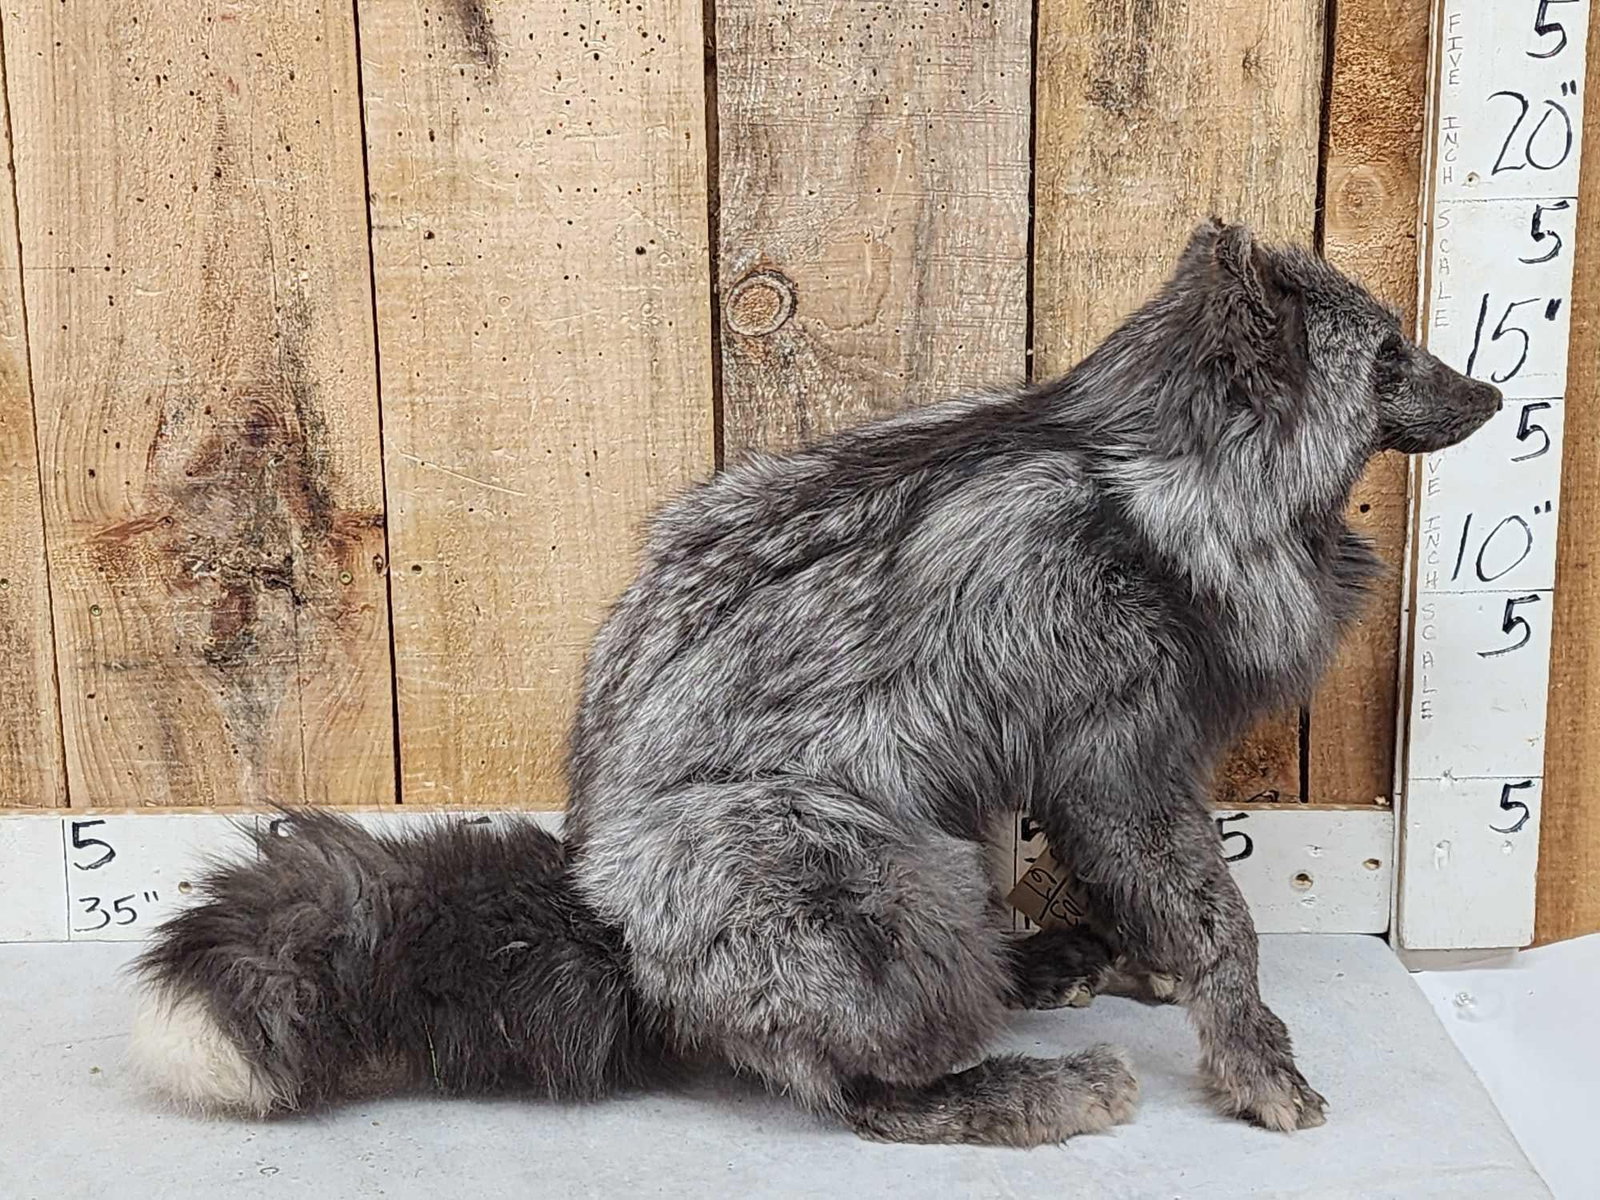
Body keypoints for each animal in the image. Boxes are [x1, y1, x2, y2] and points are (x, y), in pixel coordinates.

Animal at [129, 219, 1501, 1146]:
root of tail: (602, 912)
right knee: (867, 1095)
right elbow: (1222, 924)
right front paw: (1253, 1056)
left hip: (947, 836)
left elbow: (1164, 906)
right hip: (877, 875)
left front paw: (1141, 960)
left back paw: (1041, 971)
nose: (1491, 390)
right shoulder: (1120, 764)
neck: (1158, 480)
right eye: (1389, 354)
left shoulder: (1084, 777)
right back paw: (1022, 1084)